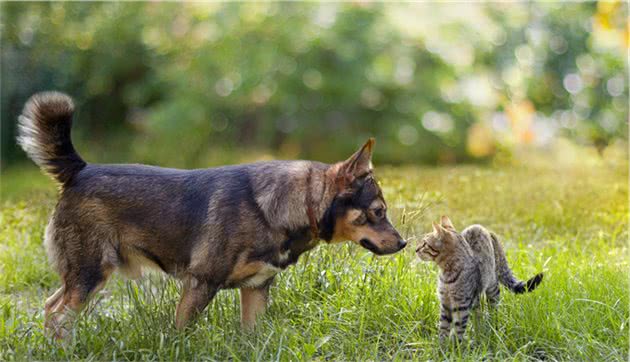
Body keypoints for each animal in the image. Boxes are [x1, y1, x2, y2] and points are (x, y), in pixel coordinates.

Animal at [17, 91, 408, 340]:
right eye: (378, 211)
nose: (404, 243)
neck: (279, 208)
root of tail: (80, 170)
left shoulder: (255, 290)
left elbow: (252, 339)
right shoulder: (200, 284)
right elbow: (182, 336)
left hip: (84, 276)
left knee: (52, 309)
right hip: (91, 272)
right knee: (57, 315)